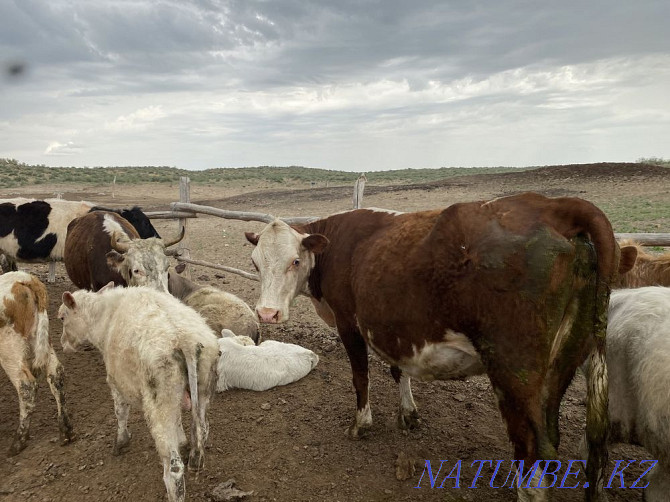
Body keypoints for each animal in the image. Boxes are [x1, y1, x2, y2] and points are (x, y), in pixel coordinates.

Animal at [0, 272, 74, 456]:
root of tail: (24, 278)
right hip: (40, 339)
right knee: (56, 373)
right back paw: (66, 431)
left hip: (9, 347)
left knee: (26, 385)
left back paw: (18, 441)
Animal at [59, 282, 219, 502]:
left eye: (62, 317)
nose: (62, 344)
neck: (103, 318)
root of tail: (185, 341)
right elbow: (179, 421)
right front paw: (182, 441)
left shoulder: (116, 381)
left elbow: (120, 412)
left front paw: (120, 442)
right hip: (200, 386)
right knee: (202, 429)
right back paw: (195, 457)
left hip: (158, 400)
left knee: (174, 469)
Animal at [247, 193, 636, 502]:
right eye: (255, 263)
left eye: (295, 261)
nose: (266, 313)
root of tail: (552, 204)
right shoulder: (395, 328)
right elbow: (398, 370)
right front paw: (408, 414)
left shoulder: (349, 323)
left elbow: (361, 377)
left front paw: (361, 425)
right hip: (568, 362)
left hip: (514, 373)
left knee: (532, 454)